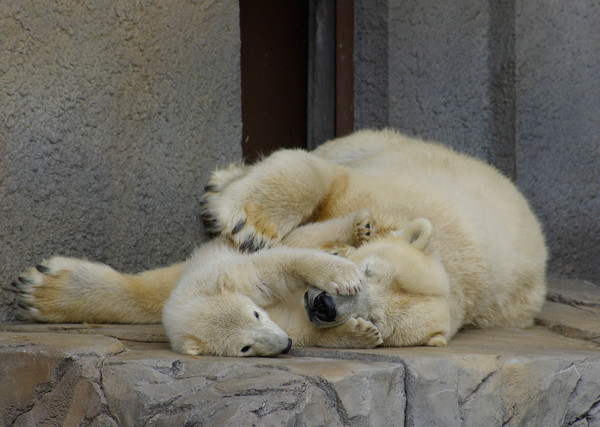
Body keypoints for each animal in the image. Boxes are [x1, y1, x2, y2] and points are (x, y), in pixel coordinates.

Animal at [15, 130, 548, 358]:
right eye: (367, 270)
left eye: (376, 320)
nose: (326, 305)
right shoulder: (393, 192)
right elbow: (314, 177)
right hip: (390, 143)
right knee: (324, 153)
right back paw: (224, 183)